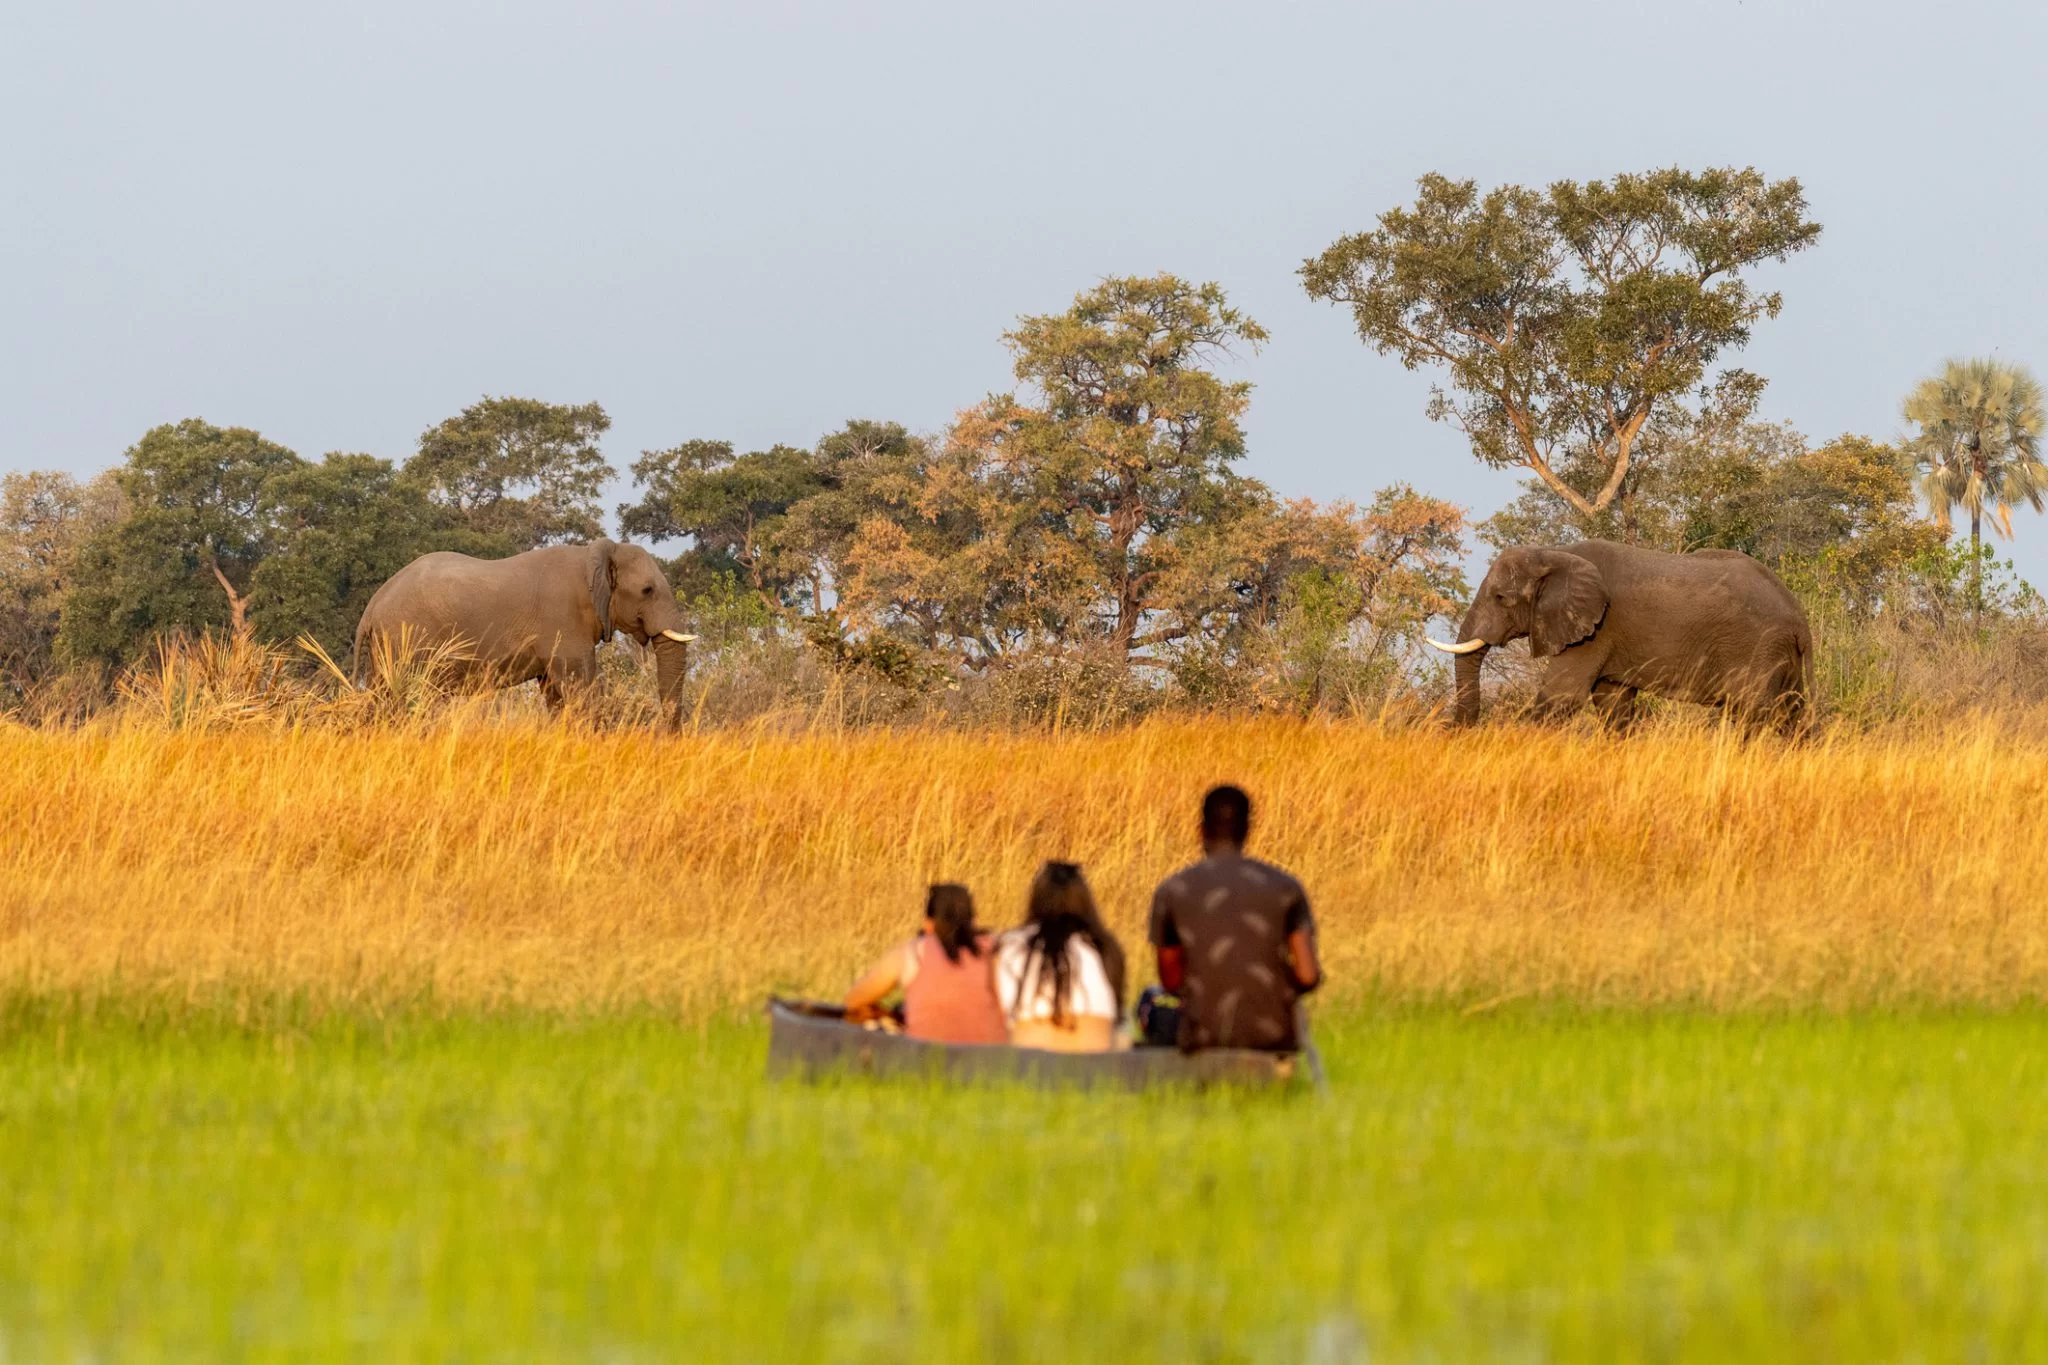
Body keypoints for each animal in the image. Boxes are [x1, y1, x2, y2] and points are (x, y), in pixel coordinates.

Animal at [352, 540, 696, 720]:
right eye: (647, 590)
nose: (667, 736)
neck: (595, 554)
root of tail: (372, 606)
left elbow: (556, 695)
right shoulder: (564, 622)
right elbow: (580, 691)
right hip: (408, 640)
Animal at [1433, 540, 1818, 736]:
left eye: (1501, 597)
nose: (1448, 729)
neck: (1554, 553)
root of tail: (1799, 616)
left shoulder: (1596, 630)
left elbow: (1560, 696)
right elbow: (1612, 703)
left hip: (1757, 647)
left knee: (1752, 714)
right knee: (1790, 714)